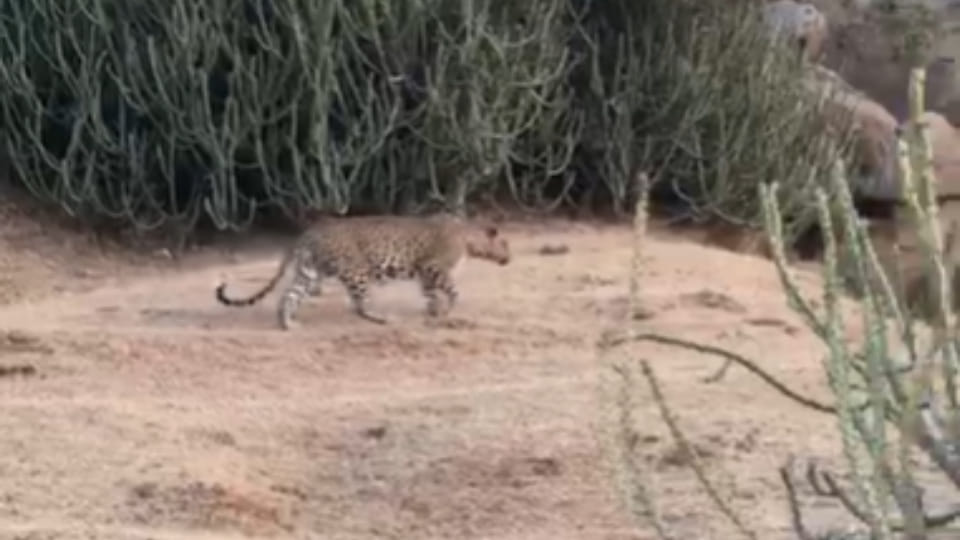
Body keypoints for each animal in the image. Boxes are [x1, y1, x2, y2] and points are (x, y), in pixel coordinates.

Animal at [214, 213, 511, 329]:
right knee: (359, 304)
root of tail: (308, 233)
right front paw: (449, 311)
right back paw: (382, 318)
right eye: (505, 244)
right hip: (356, 271)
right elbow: (453, 291)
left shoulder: (426, 273)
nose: (510, 258)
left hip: (309, 273)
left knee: (289, 296)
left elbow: (431, 295)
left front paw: (434, 312)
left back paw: (288, 324)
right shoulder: (434, 268)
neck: (469, 238)